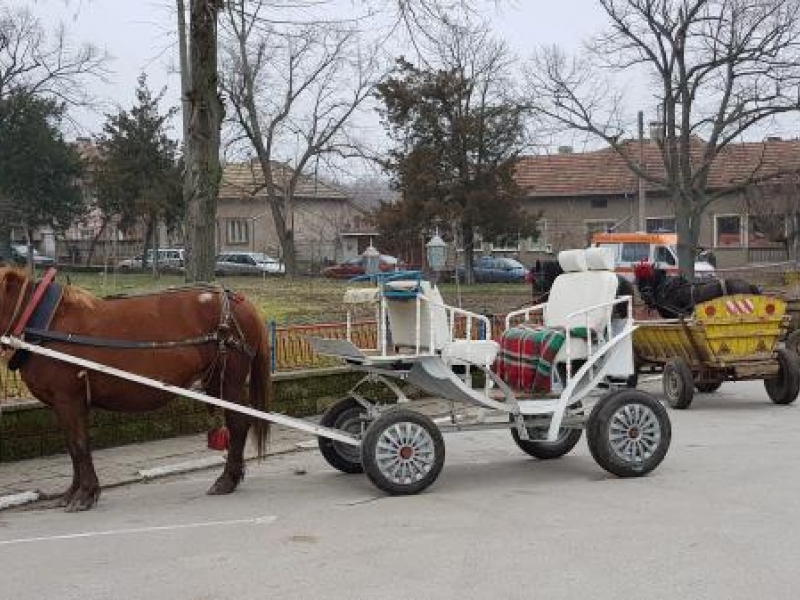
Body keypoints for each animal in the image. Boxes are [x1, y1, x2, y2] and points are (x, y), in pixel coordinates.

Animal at [0, 268, 270, 510]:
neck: (40, 321)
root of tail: (241, 302)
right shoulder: (65, 404)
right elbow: (73, 445)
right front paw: (74, 492)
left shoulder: (68, 398)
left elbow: (78, 445)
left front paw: (85, 493)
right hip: (216, 380)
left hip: (230, 381)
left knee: (239, 424)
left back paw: (227, 479)